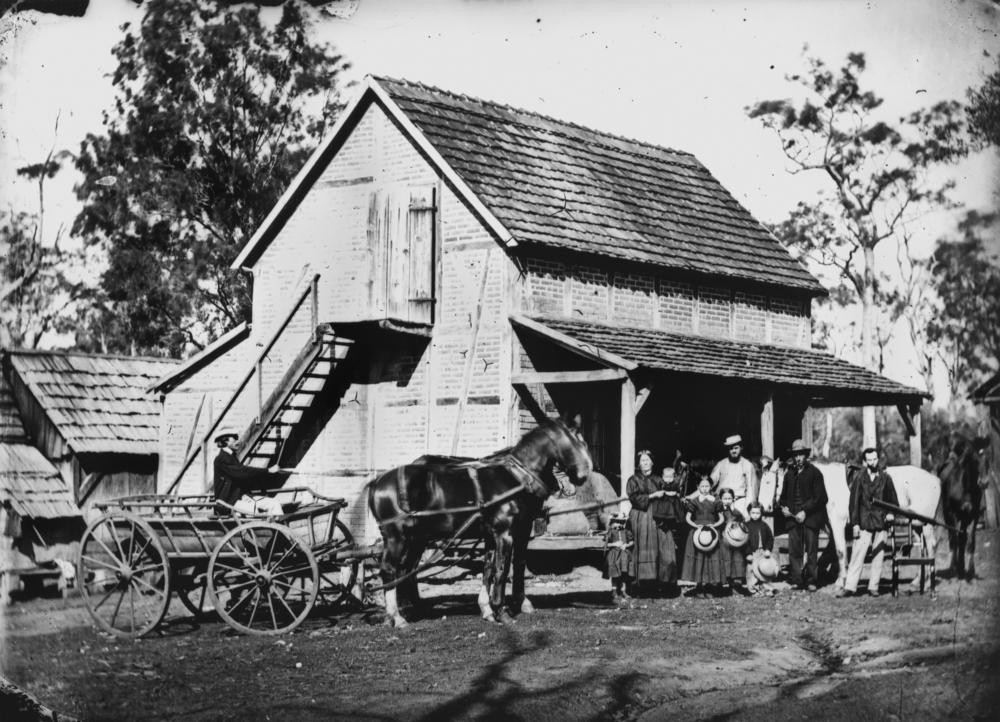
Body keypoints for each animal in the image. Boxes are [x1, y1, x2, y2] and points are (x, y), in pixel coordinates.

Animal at [370, 416, 592, 624]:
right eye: (578, 440)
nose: (584, 475)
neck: (516, 478)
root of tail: (378, 482)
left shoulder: (500, 533)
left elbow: (492, 568)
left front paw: (488, 609)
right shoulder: (506, 533)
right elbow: (502, 569)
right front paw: (501, 611)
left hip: (417, 538)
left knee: (407, 569)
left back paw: (411, 608)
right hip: (397, 538)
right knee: (390, 569)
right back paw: (397, 616)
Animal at [760, 458, 940, 588]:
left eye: (768, 482)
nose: (761, 507)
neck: (825, 484)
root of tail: (935, 479)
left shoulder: (837, 524)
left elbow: (839, 551)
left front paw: (841, 581)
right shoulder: (832, 527)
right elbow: (829, 553)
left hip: (925, 524)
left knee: (931, 545)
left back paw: (928, 582)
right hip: (916, 525)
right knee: (922, 547)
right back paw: (917, 581)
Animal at [936, 434, 984, 580]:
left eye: (985, 459)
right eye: (973, 460)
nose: (984, 482)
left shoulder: (973, 515)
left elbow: (970, 541)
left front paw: (969, 570)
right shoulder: (952, 514)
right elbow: (955, 539)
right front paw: (954, 569)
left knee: (961, 538)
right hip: (947, 515)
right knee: (953, 538)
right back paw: (954, 567)